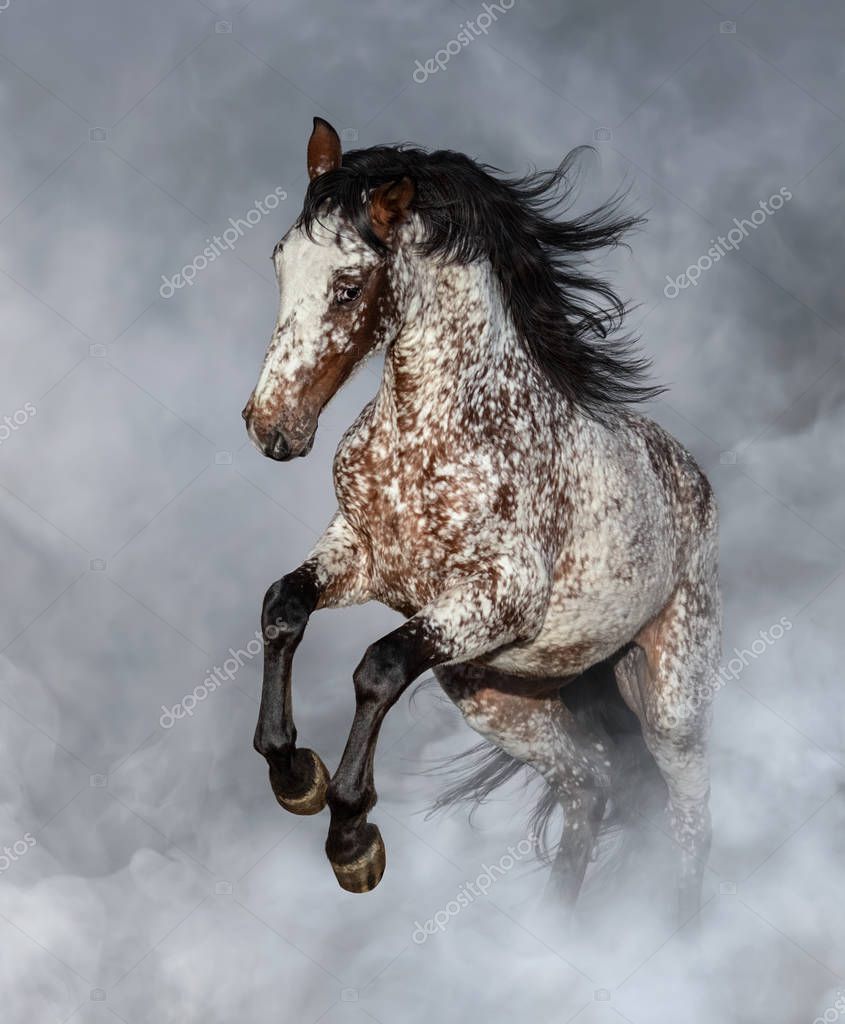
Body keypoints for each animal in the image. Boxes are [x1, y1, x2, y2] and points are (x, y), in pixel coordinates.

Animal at [242, 117, 721, 919]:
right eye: (280, 262)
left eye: (347, 286)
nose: (270, 427)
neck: (435, 434)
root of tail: (693, 479)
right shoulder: (362, 557)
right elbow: (283, 607)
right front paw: (294, 775)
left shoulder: (497, 598)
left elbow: (378, 668)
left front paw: (350, 837)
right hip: (500, 700)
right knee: (589, 784)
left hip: (670, 699)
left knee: (688, 820)